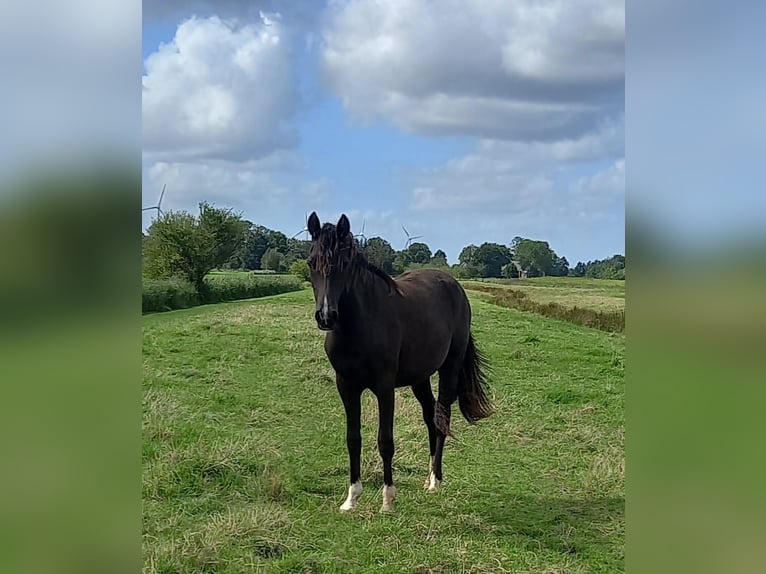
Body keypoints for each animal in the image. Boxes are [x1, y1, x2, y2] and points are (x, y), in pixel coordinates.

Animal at [304, 212, 492, 512]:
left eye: (344, 263)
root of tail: (454, 285)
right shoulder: (346, 386)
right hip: (420, 378)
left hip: (449, 369)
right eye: (311, 263)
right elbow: (353, 439)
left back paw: (436, 480)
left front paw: (388, 500)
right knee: (430, 417)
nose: (326, 316)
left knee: (442, 417)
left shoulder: (384, 387)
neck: (360, 326)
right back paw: (428, 477)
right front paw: (351, 498)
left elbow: (385, 441)